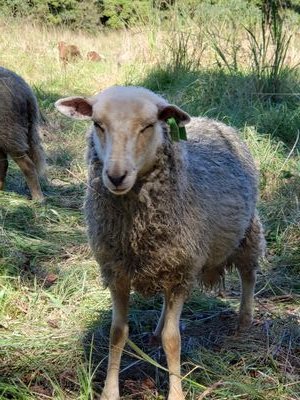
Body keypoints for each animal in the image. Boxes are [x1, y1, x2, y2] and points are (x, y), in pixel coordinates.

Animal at [54, 87, 264, 400]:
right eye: (98, 124)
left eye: (148, 126)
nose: (116, 176)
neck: (136, 230)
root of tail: (214, 120)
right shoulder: (117, 271)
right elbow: (118, 333)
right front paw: (110, 391)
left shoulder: (182, 272)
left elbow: (173, 339)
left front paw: (176, 392)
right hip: (167, 259)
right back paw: (157, 328)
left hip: (247, 232)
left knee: (249, 273)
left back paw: (244, 321)